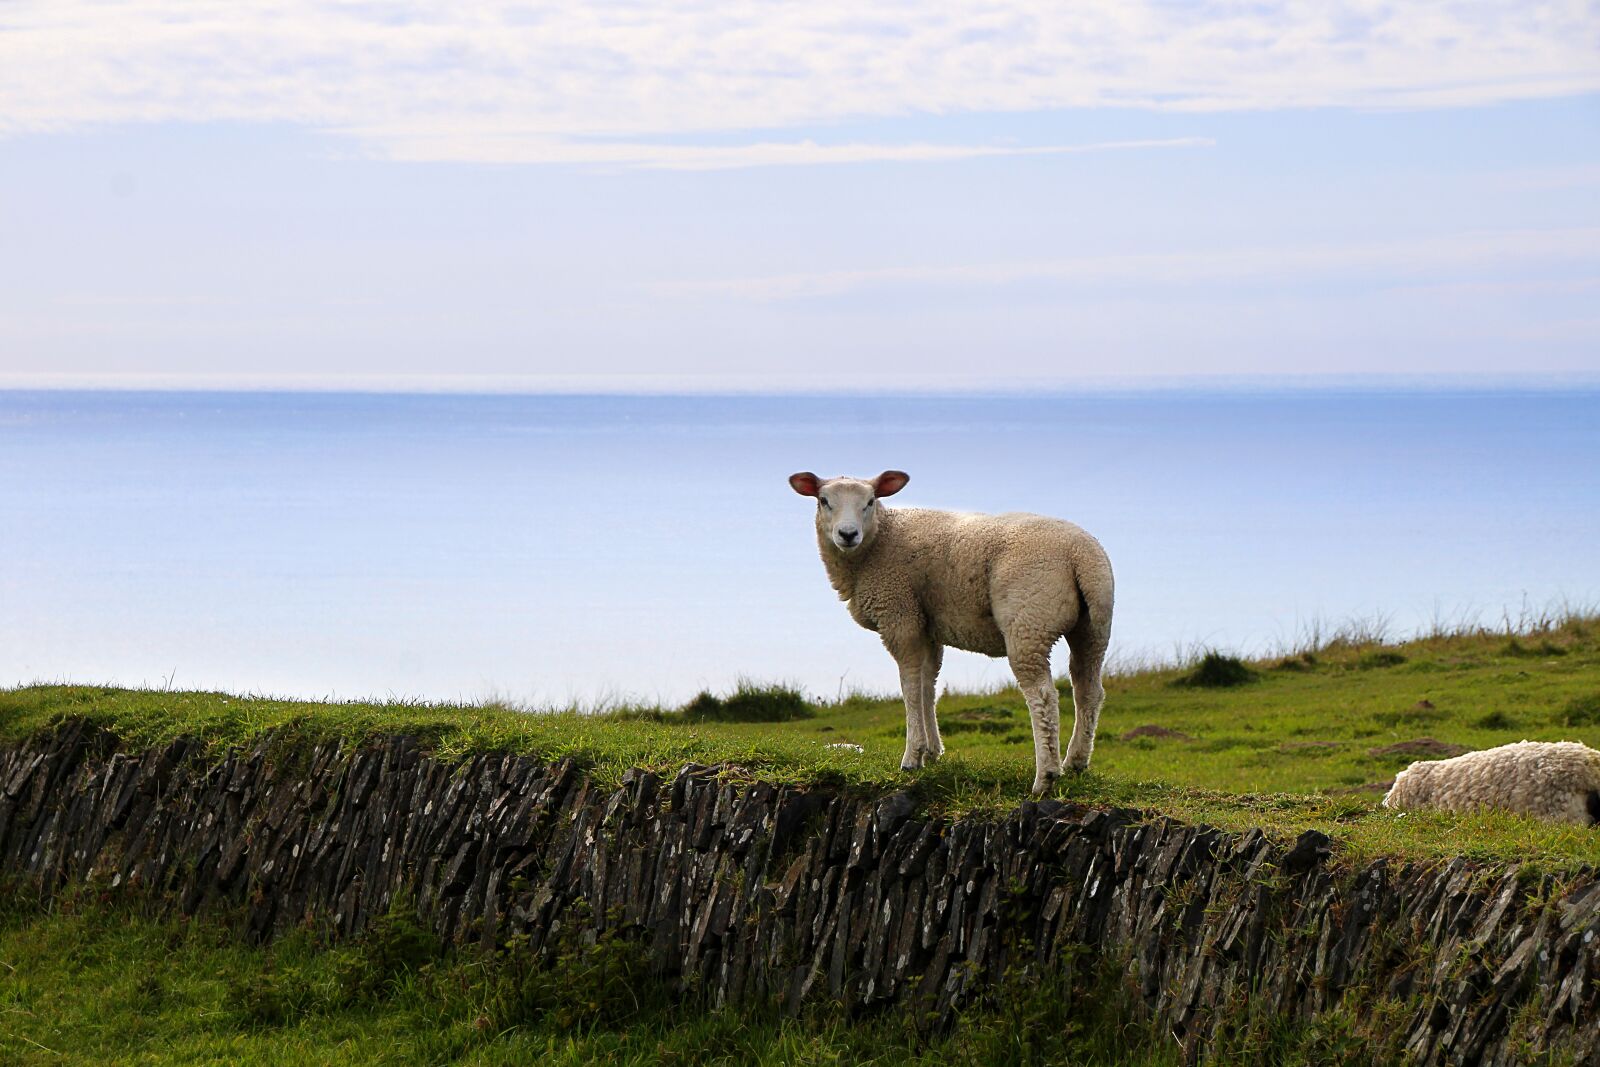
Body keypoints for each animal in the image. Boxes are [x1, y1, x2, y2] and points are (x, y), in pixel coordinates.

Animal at [789, 469, 1115, 796]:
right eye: (824, 500)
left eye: (870, 501)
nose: (847, 534)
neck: (879, 540)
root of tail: (1080, 554)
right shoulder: (927, 624)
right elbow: (927, 686)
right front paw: (932, 752)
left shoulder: (900, 616)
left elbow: (910, 686)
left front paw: (912, 757)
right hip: (1094, 627)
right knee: (1088, 690)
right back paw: (1076, 762)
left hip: (1029, 622)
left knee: (1043, 695)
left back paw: (1045, 776)